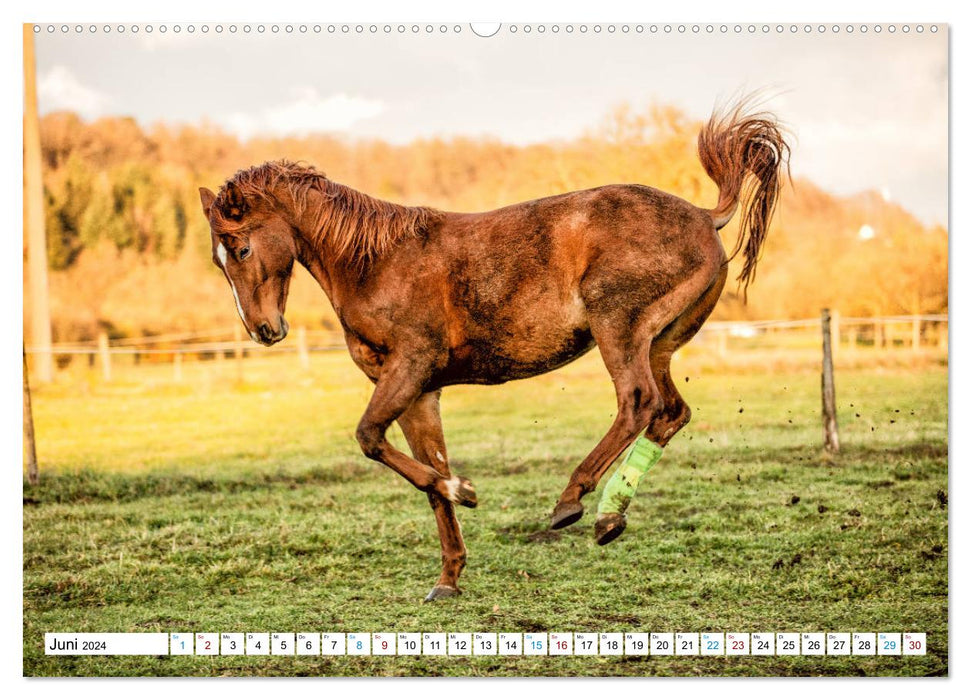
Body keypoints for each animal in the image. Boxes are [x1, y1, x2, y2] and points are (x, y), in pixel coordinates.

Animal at [199, 98, 788, 600]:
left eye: (241, 248)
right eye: (217, 259)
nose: (263, 330)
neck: (377, 264)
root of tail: (705, 215)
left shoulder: (409, 369)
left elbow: (370, 439)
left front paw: (466, 490)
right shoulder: (419, 394)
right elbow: (424, 474)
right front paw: (448, 577)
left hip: (619, 330)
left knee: (638, 403)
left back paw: (571, 502)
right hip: (660, 344)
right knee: (671, 413)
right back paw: (609, 516)